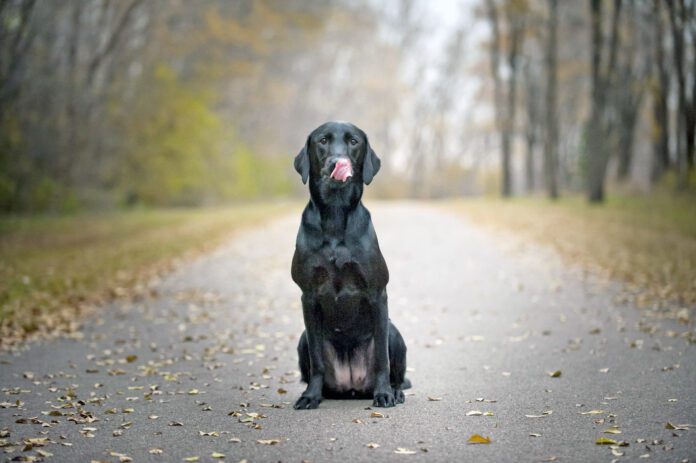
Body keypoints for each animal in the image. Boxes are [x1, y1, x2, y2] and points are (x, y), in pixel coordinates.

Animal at [292, 122, 410, 410]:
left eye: (353, 141)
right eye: (322, 141)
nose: (337, 162)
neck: (335, 215)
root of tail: (352, 388)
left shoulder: (378, 294)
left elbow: (381, 359)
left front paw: (384, 394)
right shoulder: (308, 296)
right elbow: (317, 361)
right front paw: (310, 396)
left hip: (394, 333)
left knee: (397, 374)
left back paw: (395, 392)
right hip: (301, 339)